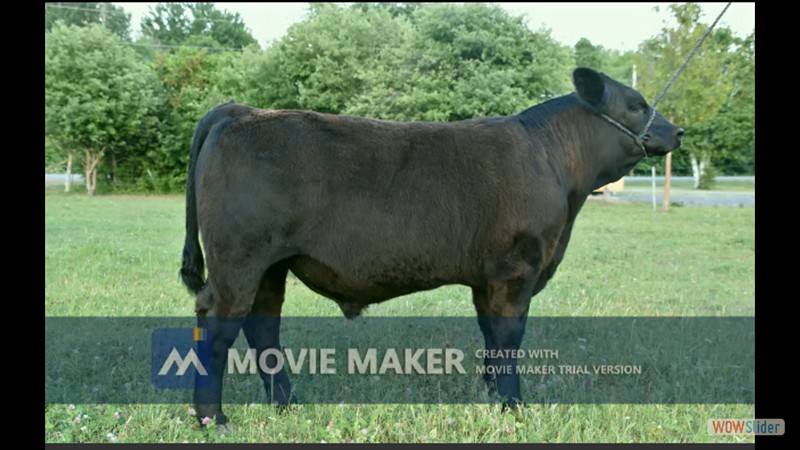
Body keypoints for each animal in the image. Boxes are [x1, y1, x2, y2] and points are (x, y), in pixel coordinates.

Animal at [180, 67, 683, 427]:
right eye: (636, 105)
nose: (677, 132)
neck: (553, 162)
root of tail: (240, 111)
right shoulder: (516, 269)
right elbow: (509, 339)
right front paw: (515, 409)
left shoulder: (487, 279)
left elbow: (491, 340)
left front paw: (493, 399)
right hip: (238, 262)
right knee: (219, 323)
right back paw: (213, 418)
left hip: (269, 267)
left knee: (262, 327)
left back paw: (287, 406)